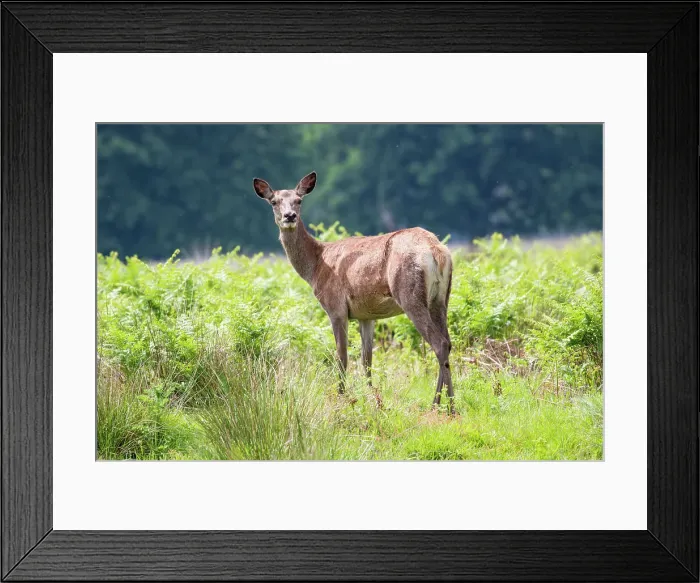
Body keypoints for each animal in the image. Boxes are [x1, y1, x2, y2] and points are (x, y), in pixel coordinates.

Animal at [253, 171, 456, 415]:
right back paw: (447, 404)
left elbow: (342, 357)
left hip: (410, 294)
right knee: (448, 341)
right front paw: (372, 398)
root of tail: (436, 251)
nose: (290, 216)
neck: (316, 265)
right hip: (441, 298)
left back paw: (442, 406)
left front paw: (341, 398)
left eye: (298, 200)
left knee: (439, 343)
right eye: (274, 202)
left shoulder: (336, 307)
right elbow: (366, 360)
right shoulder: (366, 315)